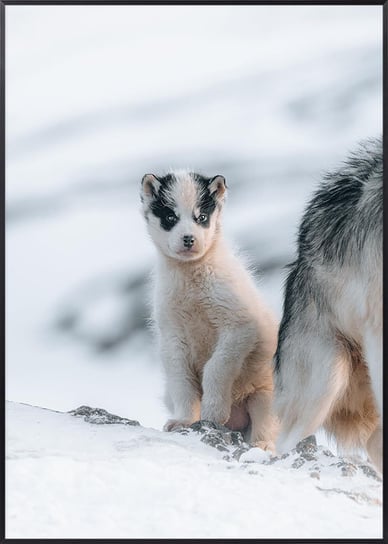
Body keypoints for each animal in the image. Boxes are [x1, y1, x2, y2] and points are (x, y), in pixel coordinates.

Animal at [141, 170, 278, 450]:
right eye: (170, 217)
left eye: (201, 217)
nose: (188, 239)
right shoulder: (172, 333)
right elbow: (181, 380)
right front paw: (183, 421)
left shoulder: (239, 326)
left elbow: (216, 367)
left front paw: (213, 413)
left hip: (264, 396)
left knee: (266, 427)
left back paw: (261, 446)